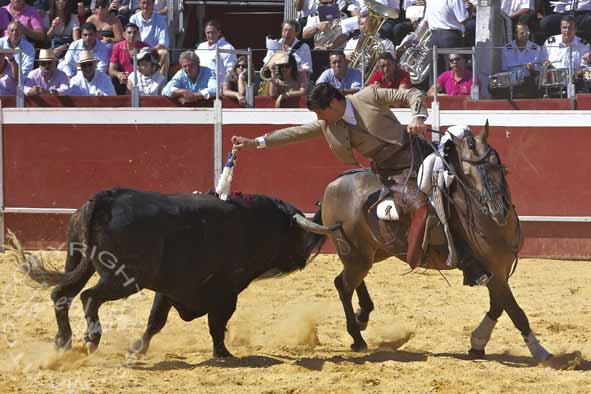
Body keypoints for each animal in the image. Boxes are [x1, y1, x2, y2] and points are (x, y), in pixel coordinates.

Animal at [13, 187, 338, 358]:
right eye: (297, 233)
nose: (306, 256)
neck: (251, 223)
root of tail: (105, 198)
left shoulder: (168, 289)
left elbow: (155, 321)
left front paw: (137, 349)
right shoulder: (226, 292)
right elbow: (217, 324)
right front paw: (223, 353)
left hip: (78, 262)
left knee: (62, 295)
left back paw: (63, 342)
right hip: (123, 278)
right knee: (89, 298)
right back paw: (91, 339)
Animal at [320, 121, 556, 364]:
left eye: (497, 165)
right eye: (467, 174)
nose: (497, 211)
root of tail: (333, 184)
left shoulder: (501, 271)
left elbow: (498, 306)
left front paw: (477, 343)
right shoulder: (494, 274)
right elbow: (515, 311)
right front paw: (540, 351)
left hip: (372, 252)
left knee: (350, 281)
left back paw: (362, 317)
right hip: (354, 253)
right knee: (344, 286)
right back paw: (357, 337)